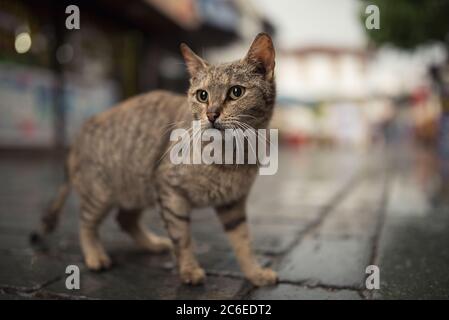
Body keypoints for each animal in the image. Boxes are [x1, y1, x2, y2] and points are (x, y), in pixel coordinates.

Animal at [36, 33, 276, 286]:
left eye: (236, 92)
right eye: (202, 95)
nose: (211, 114)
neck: (232, 154)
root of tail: (79, 134)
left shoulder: (232, 203)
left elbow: (243, 242)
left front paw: (255, 273)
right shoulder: (170, 191)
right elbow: (182, 238)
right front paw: (189, 269)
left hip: (138, 188)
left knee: (124, 219)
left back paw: (153, 244)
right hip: (100, 193)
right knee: (85, 223)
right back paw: (95, 255)